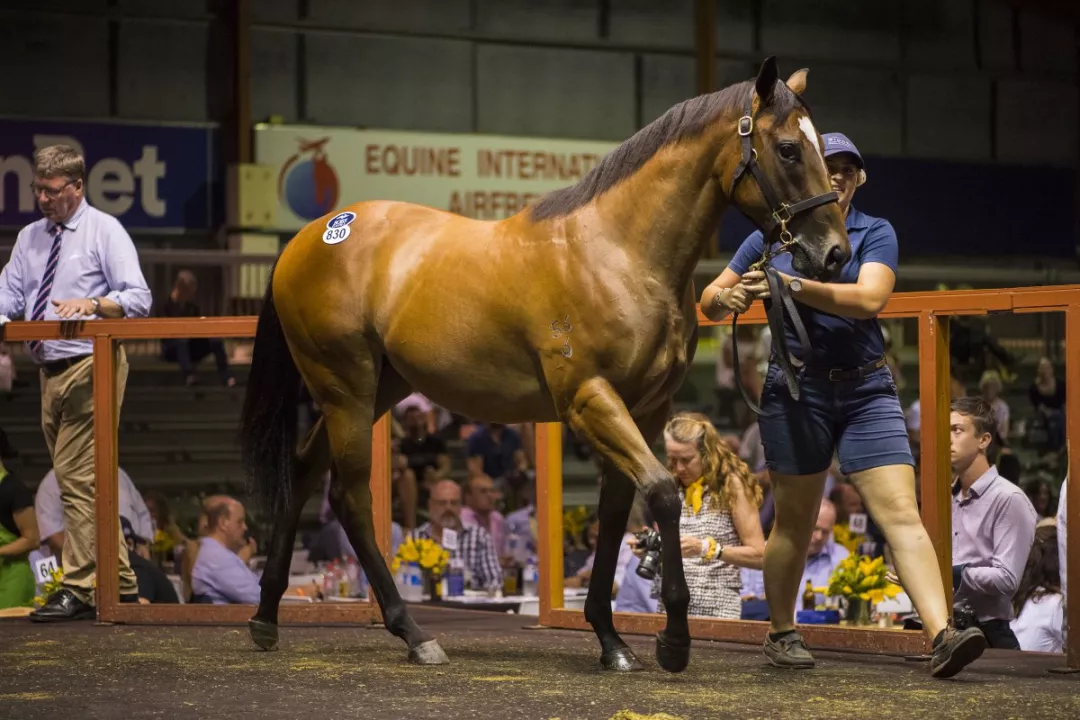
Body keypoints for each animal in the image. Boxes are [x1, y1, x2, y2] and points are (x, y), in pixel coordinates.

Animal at [238, 57, 851, 677]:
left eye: (817, 146)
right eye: (788, 149)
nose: (834, 254)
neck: (619, 254)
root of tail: (308, 239)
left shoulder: (646, 410)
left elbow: (615, 511)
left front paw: (611, 638)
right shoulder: (589, 401)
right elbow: (661, 492)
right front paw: (673, 641)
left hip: (378, 386)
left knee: (304, 470)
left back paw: (266, 618)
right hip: (346, 388)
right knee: (350, 498)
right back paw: (412, 632)